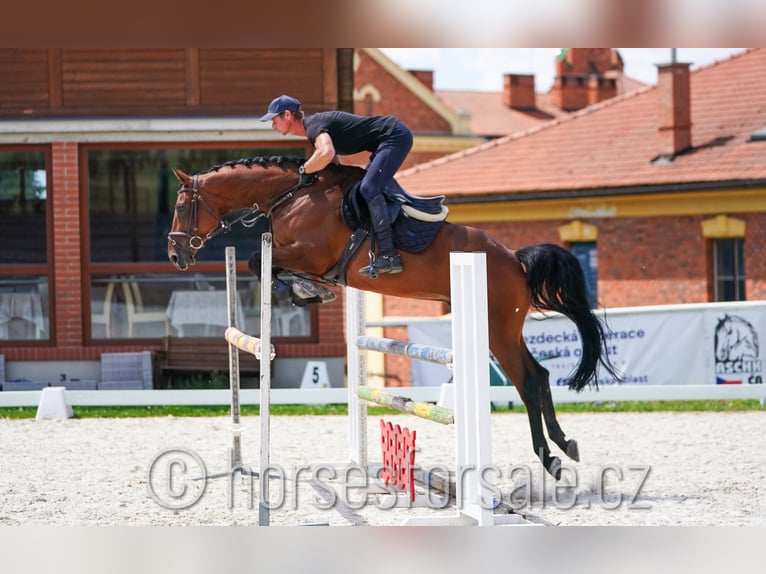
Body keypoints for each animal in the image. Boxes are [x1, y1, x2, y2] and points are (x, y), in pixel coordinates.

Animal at [167, 156, 620, 480]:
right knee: (539, 376)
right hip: (504, 328)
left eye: (181, 206)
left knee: (527, 380)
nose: (175, 254)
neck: (291, 197)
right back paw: (565, 446)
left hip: (497, 329)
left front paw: (304, 289)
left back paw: (549, 458)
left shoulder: (307, 252)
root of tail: (516, 259)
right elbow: (264, 265)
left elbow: (256, 261)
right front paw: (307, 290)